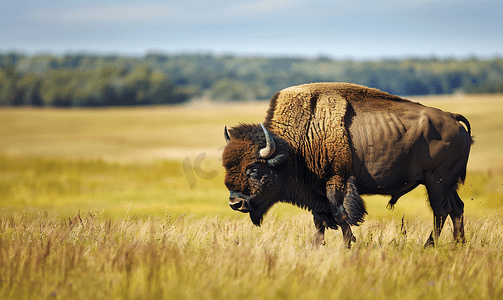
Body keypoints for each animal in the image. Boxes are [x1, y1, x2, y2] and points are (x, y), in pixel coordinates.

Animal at [222, 82, 470, 248]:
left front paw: (347, 245)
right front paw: (316, 247)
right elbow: (319, 220)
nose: (235, 203)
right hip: (448, 184)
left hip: (436, 181)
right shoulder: (316, 192)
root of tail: (453, 118)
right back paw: (459, 244)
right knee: (456, 208)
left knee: (441, 211)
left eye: (254, 169)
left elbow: (340, 215)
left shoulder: (336, 181)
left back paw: (430, 245)